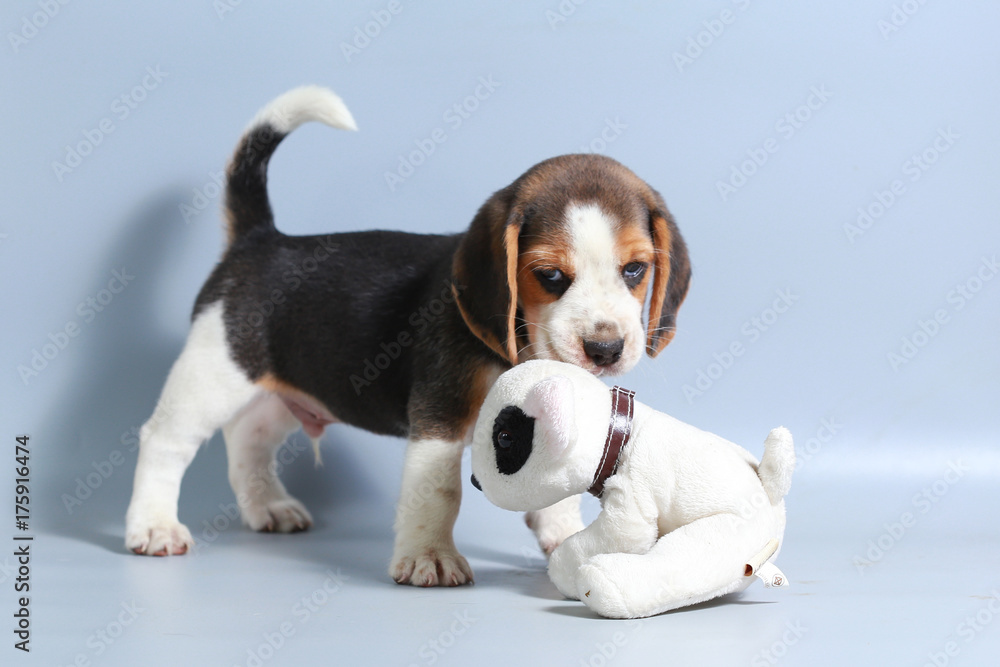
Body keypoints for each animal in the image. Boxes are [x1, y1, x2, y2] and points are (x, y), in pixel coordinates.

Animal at [123, 86, 688, 588]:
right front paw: (429, 559)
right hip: (212, 374)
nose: (606, 350)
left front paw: (565, 536)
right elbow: (438, 493)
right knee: (164, 442)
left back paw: (268, 506)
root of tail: (260, 239)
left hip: (287, 389)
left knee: (247, 439)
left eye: (635, 270)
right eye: (550, 276)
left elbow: (558, 489)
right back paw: (153, 526)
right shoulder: (438, 419)